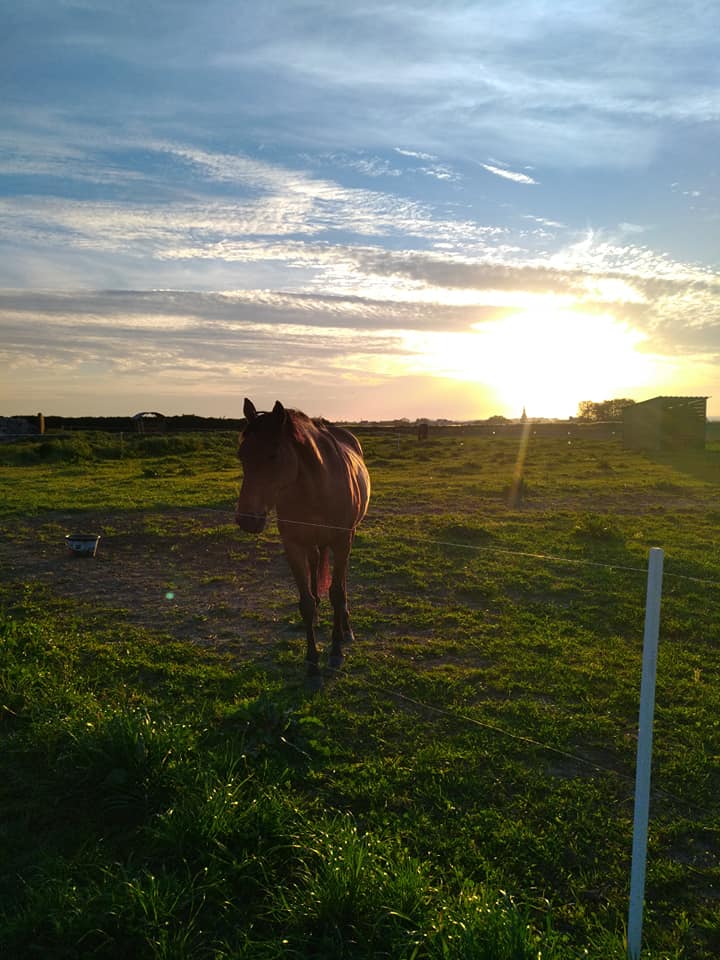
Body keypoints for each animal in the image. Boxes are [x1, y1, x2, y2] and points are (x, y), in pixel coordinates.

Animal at [236, 402, 372, 688]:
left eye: (274, 455)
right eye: (241, 455)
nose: (247, 520)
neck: (316, 487)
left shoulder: (341, 540)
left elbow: (337, 593)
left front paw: (335, 652)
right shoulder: (294, 545)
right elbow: (306, 602)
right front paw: (312, 664)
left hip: (346, 540)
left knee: (341, 583)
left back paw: (346, 627)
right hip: (313, 544)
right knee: (315, 571)